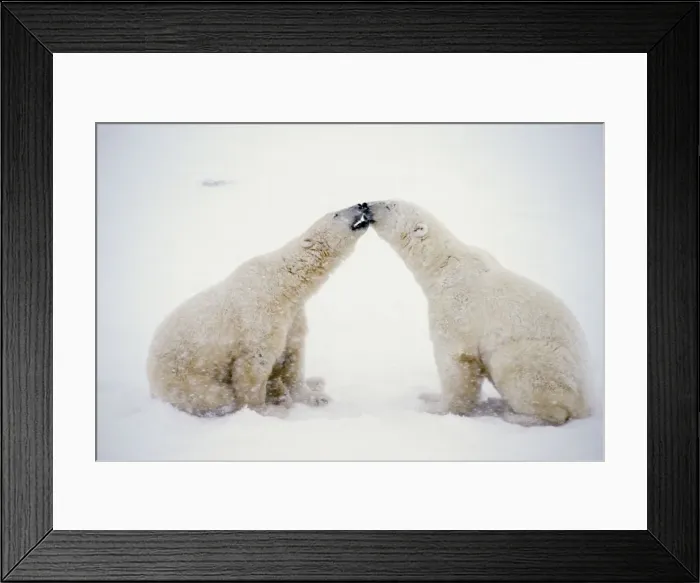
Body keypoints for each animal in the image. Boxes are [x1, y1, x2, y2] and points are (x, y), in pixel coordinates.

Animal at [146, 202, 374, 417]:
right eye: (336, 214)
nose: (362, 204)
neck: (283, 282)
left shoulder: (292, 316)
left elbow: (293, 353)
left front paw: (316, 397)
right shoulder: (260, 317)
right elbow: (253, 366)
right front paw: (266, 410)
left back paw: (313, 382)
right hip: (183, 377)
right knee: (216, 396)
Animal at [367, 199, 591, 426]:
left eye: (390, 205)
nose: (366, 205)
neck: (442, 266)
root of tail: (584, 403)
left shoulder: (456, 307)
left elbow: (455, 361)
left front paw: (437, 408)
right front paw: (428, 395)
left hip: (536, 360)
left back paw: (516, 414)